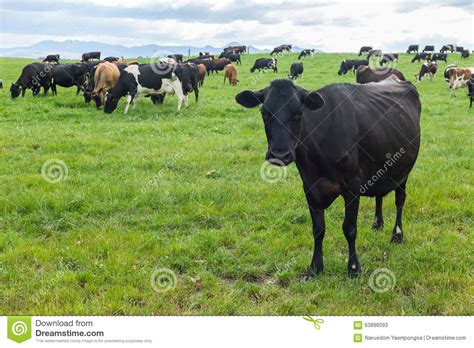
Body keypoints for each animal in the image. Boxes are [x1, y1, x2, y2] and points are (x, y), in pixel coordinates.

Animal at [235, 76, 420, 278]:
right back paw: (377, 224)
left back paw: (397, 235)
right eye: (264, 113)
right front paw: (315, 267)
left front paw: (353, 268)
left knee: (399, 201)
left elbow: (349, 228)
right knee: (379, 195)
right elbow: (318, 229)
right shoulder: (309, 186)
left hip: (403, 171)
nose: (279, 154)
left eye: (299, 113)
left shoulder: (353, 187)